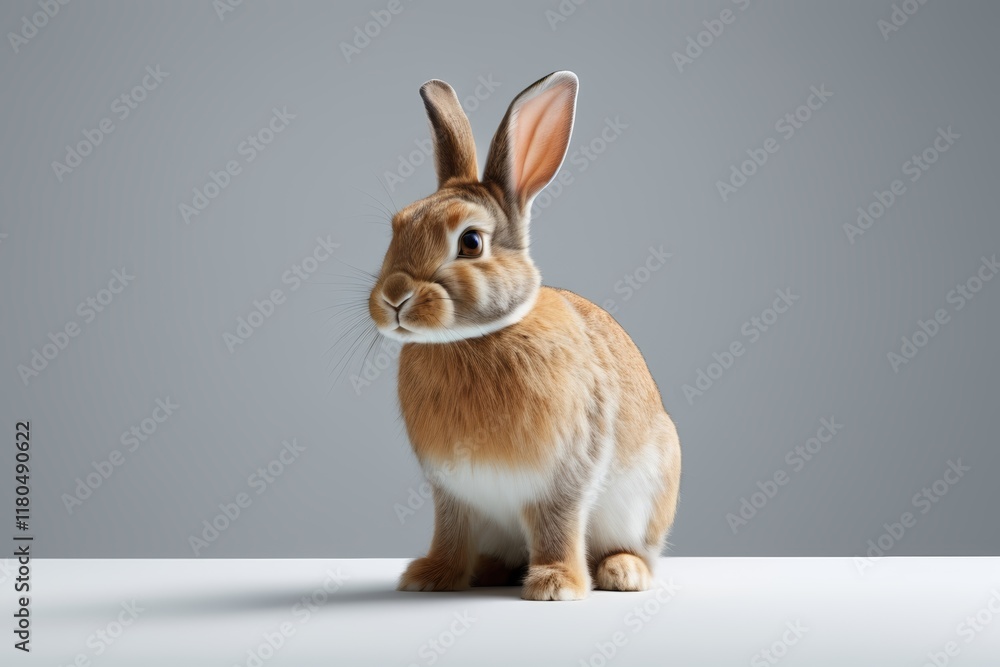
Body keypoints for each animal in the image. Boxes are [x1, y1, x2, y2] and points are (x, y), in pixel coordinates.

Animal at [368, 71, 681, 601]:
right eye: (397, 226)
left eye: (471, 242)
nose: (393, 297)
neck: (471, 339)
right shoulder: (452, 492)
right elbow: (450, 531)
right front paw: (430, 577)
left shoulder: (565, 475)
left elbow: (557, 524)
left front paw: (555, 586)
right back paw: (489, 570)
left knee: (633, 550)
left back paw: (622, 572)